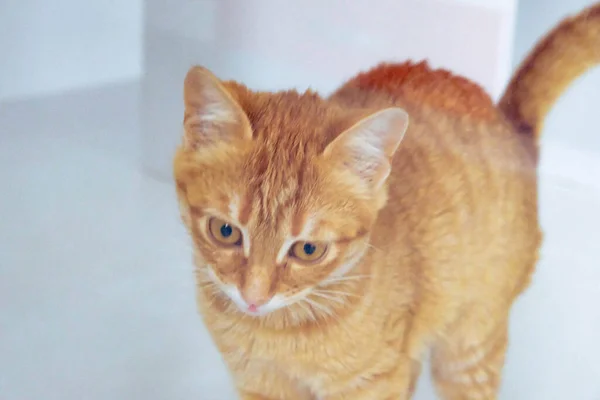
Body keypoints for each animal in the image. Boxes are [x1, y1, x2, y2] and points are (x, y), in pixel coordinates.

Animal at [173, 3, 600, 400]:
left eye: (308, 249)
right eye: (225, 230)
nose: (253, 298)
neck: (277, 331)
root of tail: (509, 122)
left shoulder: (373, 383)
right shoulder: (260, 385)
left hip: (468, 349)